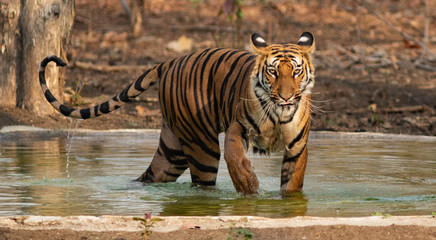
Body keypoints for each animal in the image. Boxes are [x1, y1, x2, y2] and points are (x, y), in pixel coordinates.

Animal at [38, 32, 316, 195]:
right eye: (273, 72)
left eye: (296, 71)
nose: (286, 97)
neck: (278, 114)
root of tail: (170, 61)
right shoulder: (238, 125)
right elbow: (234, 153)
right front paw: (248, 186)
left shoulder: (297, 144)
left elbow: (293, 182)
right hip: (202, 146)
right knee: (202, 182)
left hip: (174, 150)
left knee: (152, 174)